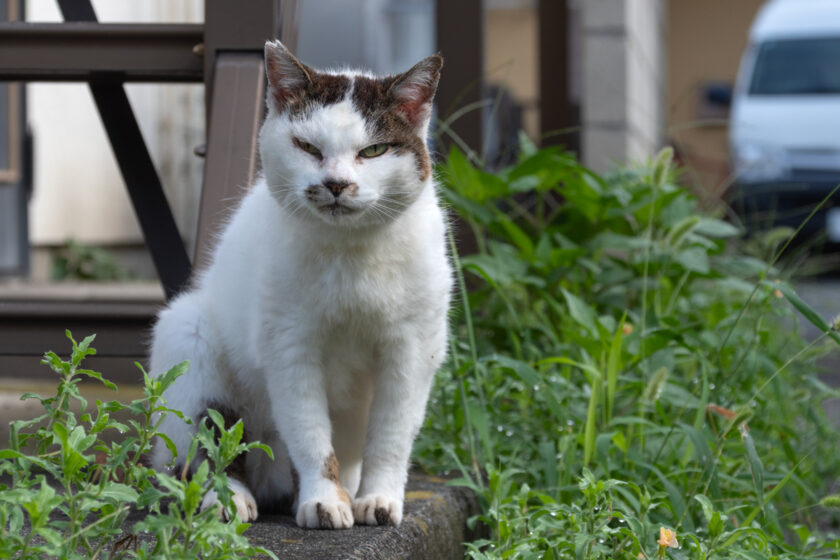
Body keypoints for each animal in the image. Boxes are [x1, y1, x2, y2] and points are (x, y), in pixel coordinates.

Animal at [151, 40, 452, 528]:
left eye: (374, 150)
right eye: (307, 147)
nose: (336, 183)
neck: (351, 255)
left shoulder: (411, 349)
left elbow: (391, 436)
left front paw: (378, 499)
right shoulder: (290, 346)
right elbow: (310, 435)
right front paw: (325, 500)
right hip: (188, 333)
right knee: (212, 446)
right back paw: (229, 500)